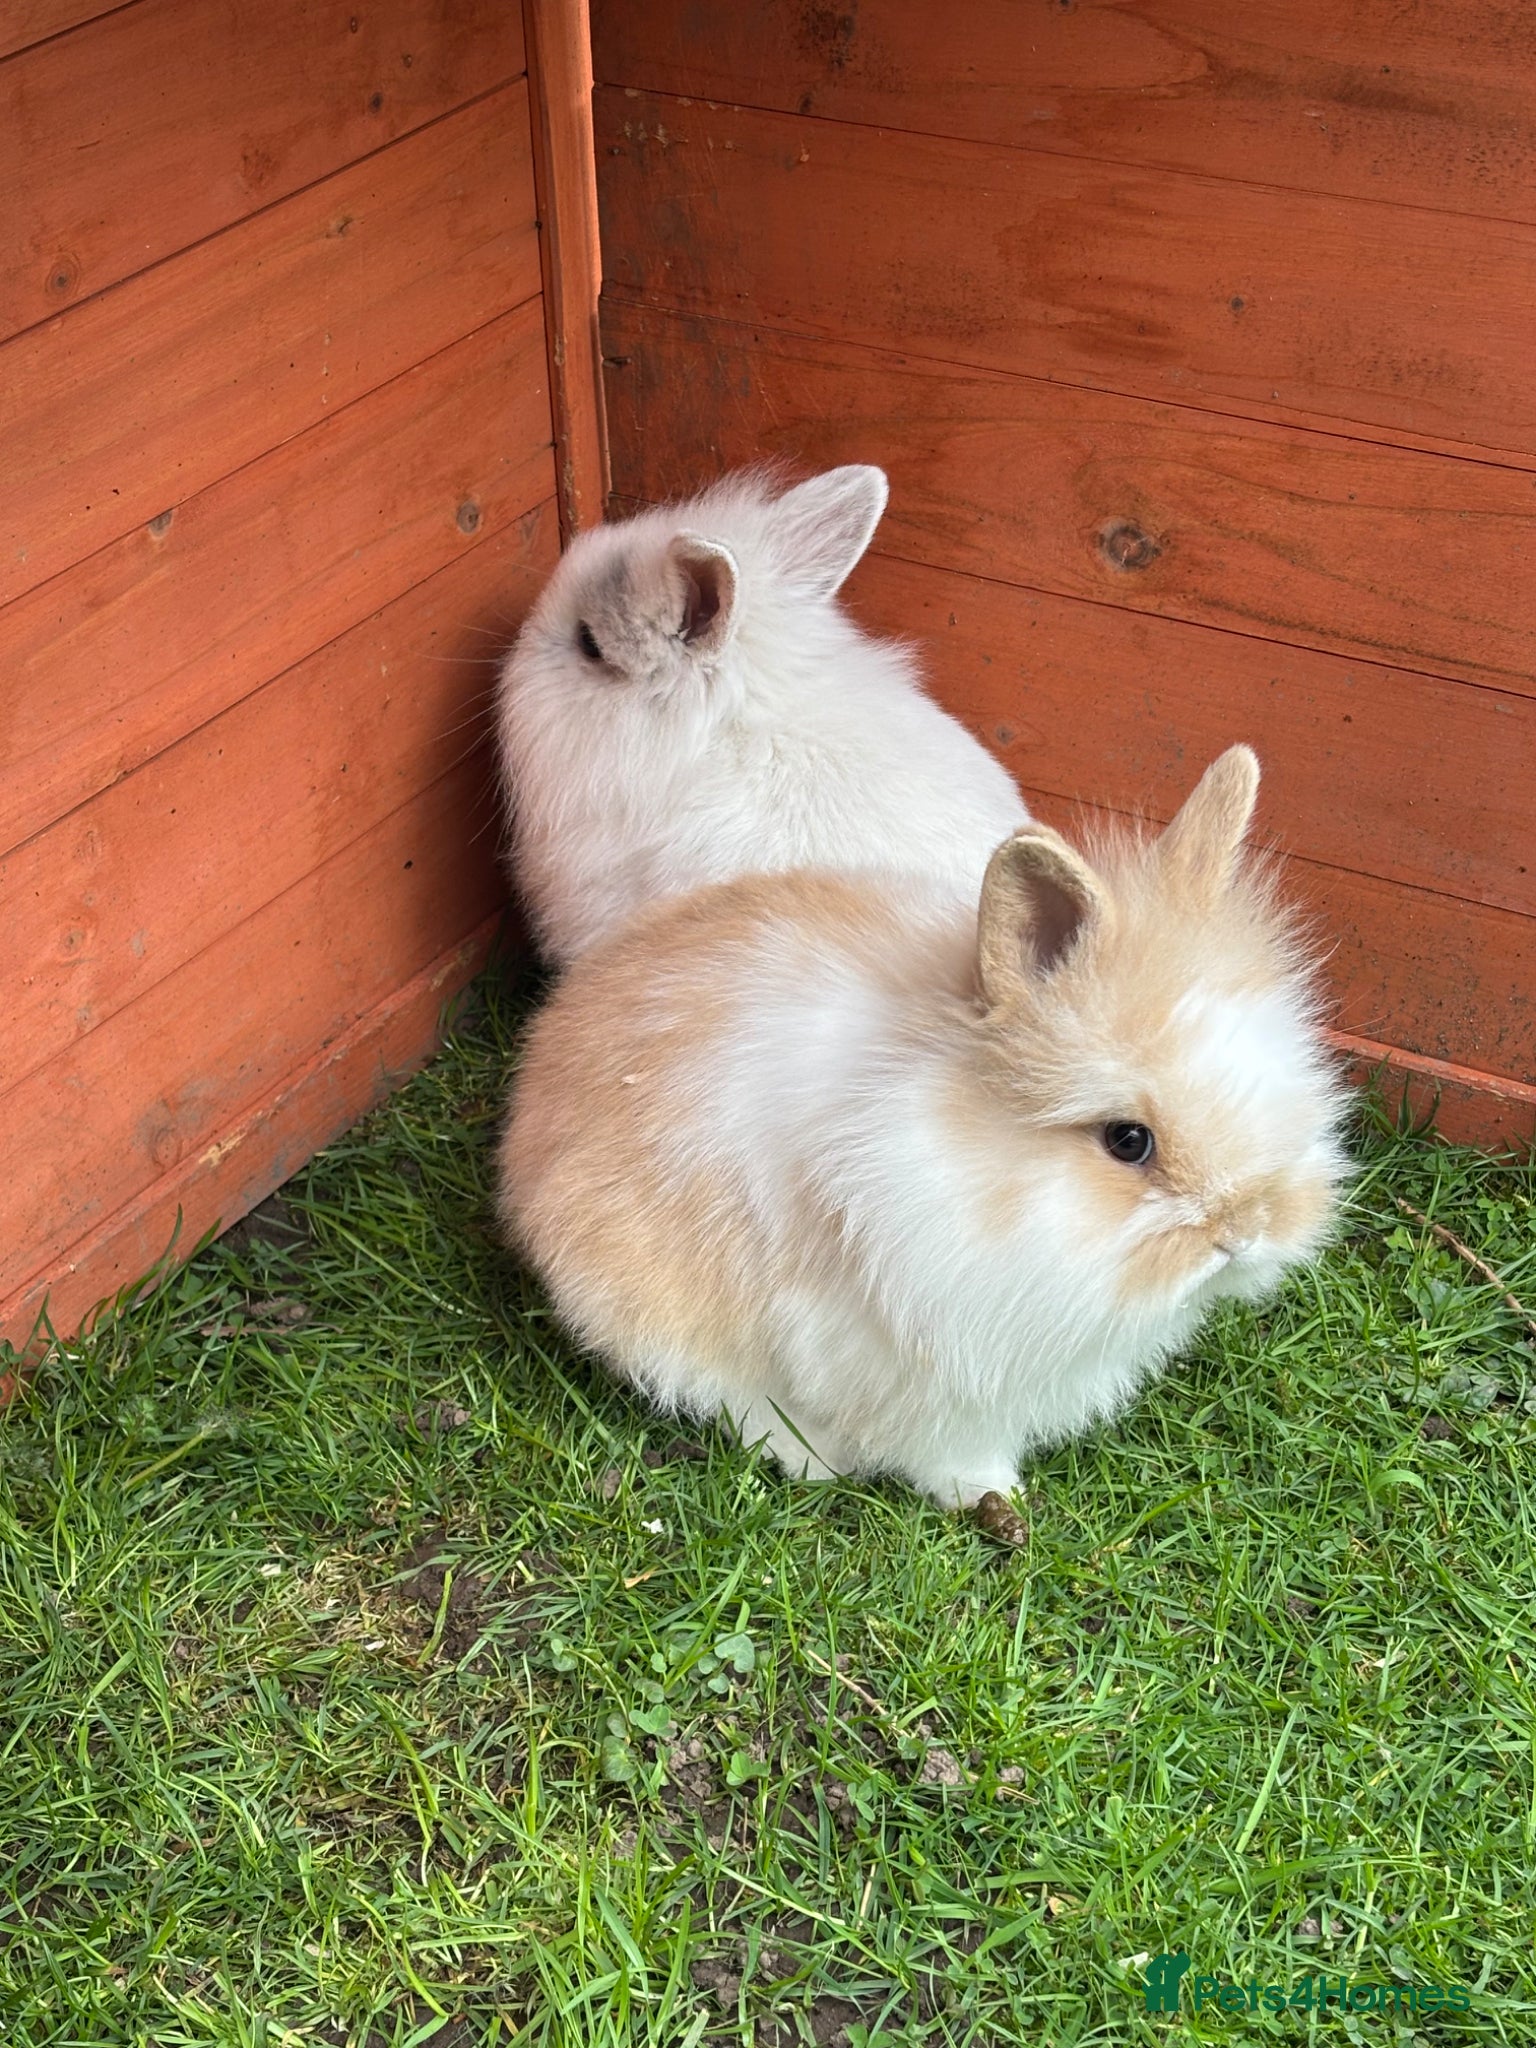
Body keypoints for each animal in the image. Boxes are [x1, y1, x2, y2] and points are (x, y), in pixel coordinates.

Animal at [498, 745, 1349, 1508]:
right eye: (1127, 1141)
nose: (1245, 1232)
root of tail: (534, 1091)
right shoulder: (889, 1351)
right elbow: (946, 1445)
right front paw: (992, 1493)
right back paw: (811, 1456)